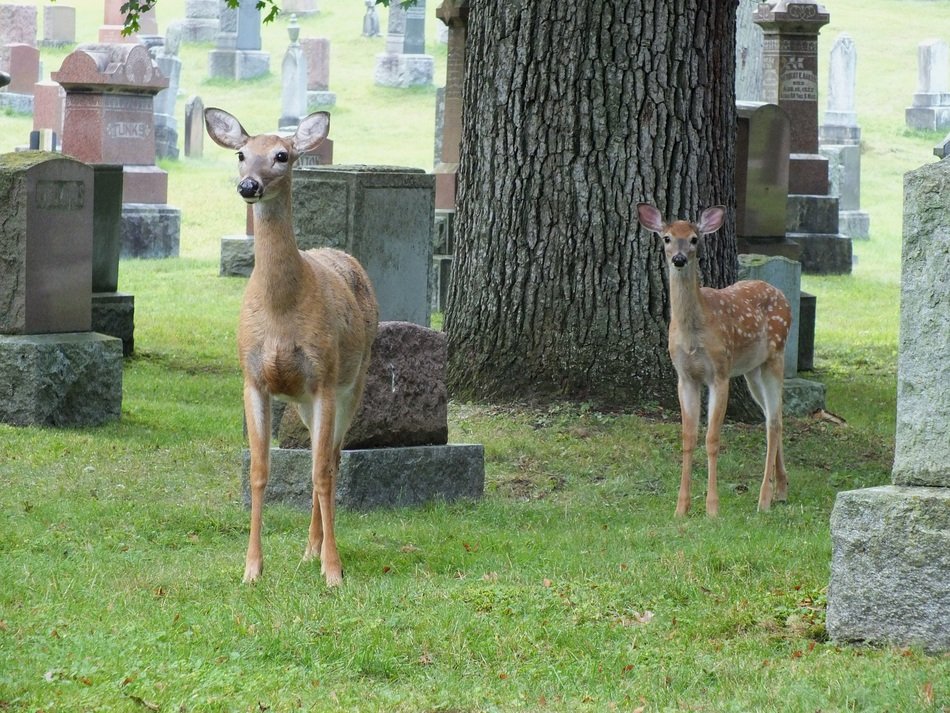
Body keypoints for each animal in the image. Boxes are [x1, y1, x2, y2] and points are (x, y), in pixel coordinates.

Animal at [205, 108, 378, 586]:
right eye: (241, 154)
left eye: (282, 155)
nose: (249, 186)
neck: (281, 312)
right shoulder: (253, 379)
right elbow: (260, 471)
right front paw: (251, 569)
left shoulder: (323, 379)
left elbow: (321, 473)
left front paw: (333, 572)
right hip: (300, 401)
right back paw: (309, 549)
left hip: (352, 383)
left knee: (332, 461)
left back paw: (319, 552)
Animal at [637, 203, 792, 518]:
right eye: (667, 238)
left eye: (694, 239)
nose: (680, 259)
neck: (693, 334)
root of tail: (783, 296)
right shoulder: (685, 377)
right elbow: (688, 437)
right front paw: (681, 507)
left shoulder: (719, 373)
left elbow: (712, 439)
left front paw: (712, 508)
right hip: (751, 371)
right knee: (774, 416)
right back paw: (781, 490)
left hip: (775, 356)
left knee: (774, 422)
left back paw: (764, 499)